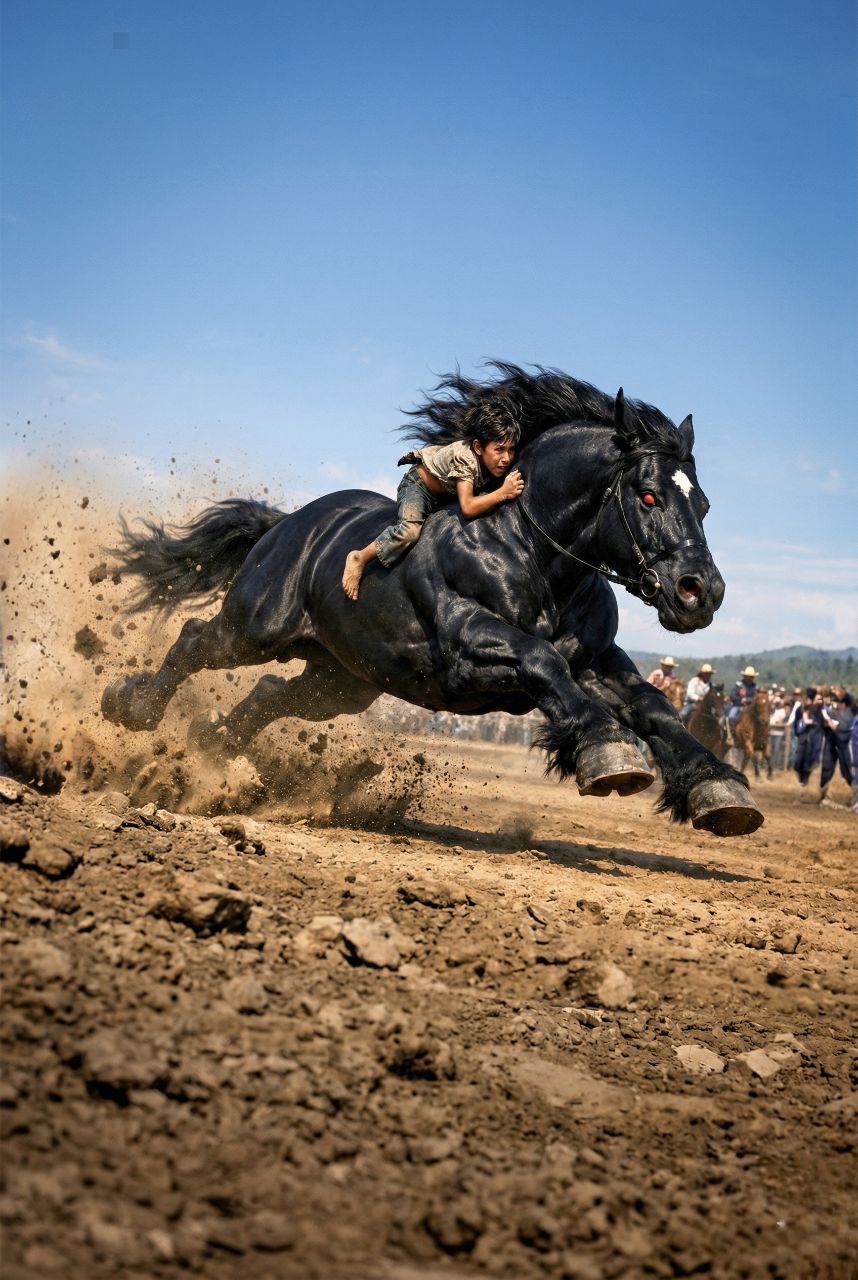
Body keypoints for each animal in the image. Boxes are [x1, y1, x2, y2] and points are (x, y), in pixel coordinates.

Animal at [101, 363, 763, 837]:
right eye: (649, 496)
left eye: (703, 503)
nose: (701, 592)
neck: (530, 550)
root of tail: (288, 523)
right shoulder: (469, 647)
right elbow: (542, 660)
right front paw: (606, 749)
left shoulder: (596, 662)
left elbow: (652, 704)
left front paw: (717, 786)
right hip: (256, 626)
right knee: (194, 642)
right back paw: (131, 708)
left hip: (340, 679)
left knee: (266, 696)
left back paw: (213, 758)